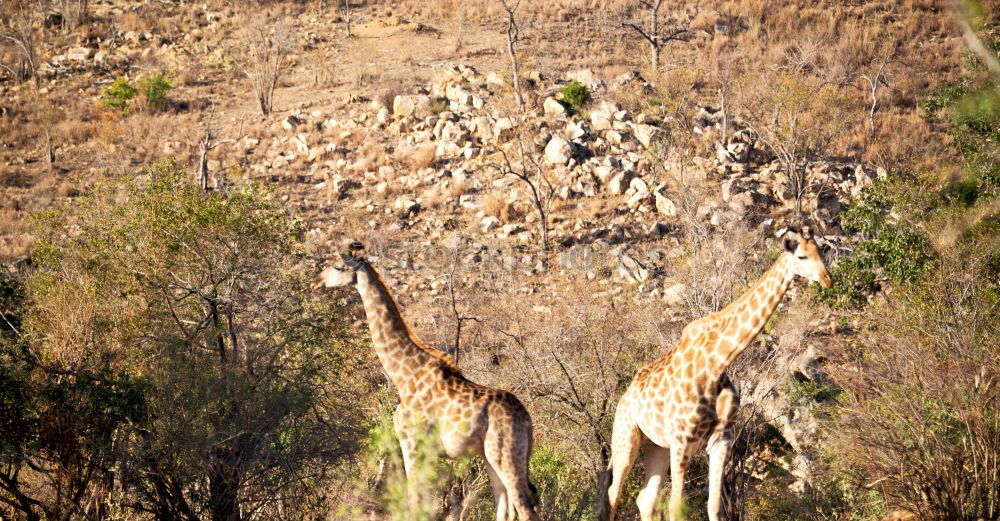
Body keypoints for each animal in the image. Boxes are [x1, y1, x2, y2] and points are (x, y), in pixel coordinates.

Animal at [316, 244, 544, 520]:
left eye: (338, 266)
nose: (316, 281)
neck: (403, 373)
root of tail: (527, 421)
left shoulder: (413, 443)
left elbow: (415, 501)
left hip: (506, 455)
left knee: (525, 505)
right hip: (492, 457)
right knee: (506, 506)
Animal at [596, 228, 832, 520]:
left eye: (821, 252)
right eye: (801, 256)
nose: (827, 280)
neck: (717, 362)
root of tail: (624, 397)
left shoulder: (721, 441)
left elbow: (714, 506)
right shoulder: (682, 442)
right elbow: (676, 507)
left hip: (657, 446)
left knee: (644, 499)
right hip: (626, 437)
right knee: (614, 494)